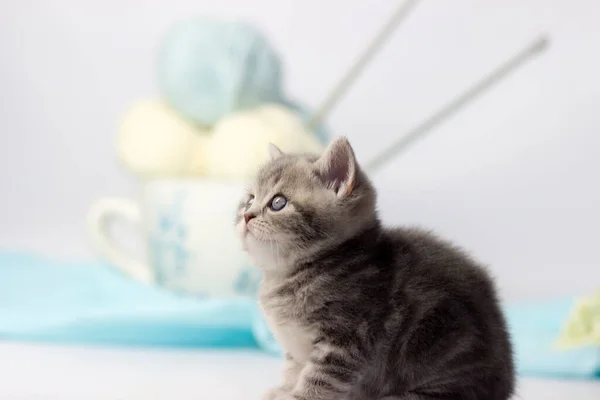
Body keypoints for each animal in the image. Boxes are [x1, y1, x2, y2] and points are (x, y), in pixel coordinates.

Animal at [237, 138, 512, 400]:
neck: (289, 274)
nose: (246, 215)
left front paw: (299, 397)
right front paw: (283, 390)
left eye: (278, 203)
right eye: (249, 200)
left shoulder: (347, 339)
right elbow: (294, 369)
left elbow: (319, 380)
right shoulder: (298, 348)